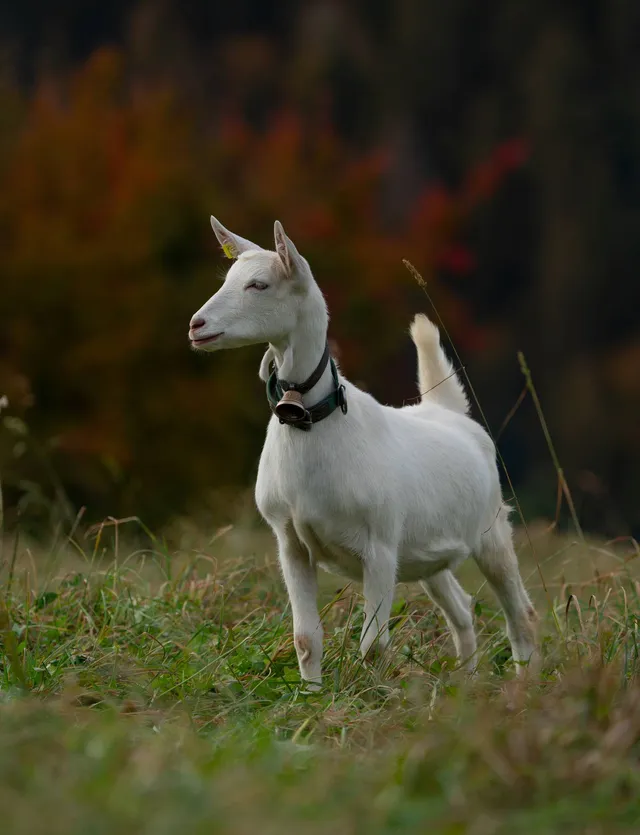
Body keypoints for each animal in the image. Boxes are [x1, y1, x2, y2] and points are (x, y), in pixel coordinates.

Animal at [189, 217, 538, 688]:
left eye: (259, 284)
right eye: (227, 278)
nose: (197, 325)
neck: (316, 424)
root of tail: (447, 410)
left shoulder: (380, 546)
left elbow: (374, 645)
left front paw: (372, 697)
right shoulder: (290, 542)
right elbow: (305, 637)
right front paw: (311, 697)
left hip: (492, 531)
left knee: (521, 614)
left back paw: (525, 683)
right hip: (425, 555)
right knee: (463, 611)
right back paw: (465, 681)